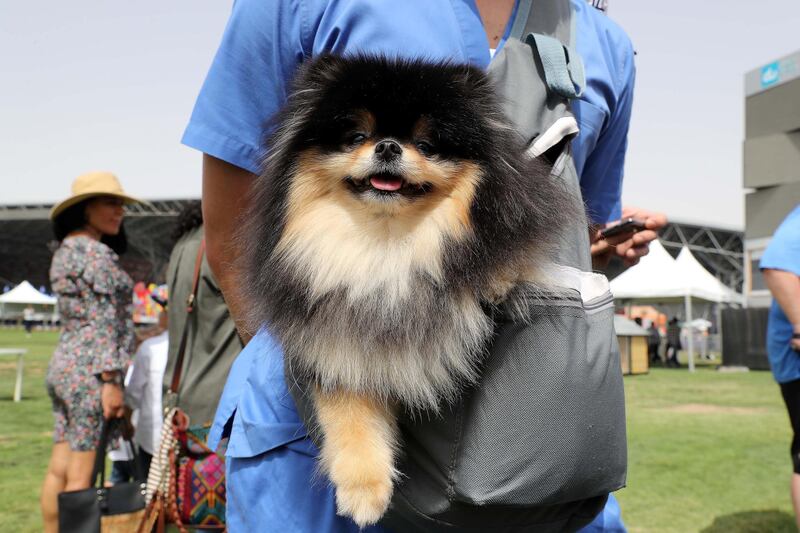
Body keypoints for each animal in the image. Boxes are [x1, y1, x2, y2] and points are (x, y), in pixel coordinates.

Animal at [239, 54, 576, 524]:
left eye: (427, 144)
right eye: (356, 137)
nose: (387, 147)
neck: (388, 247)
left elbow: (511, 249)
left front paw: (498, 275)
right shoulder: (339, 340)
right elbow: (351, 416)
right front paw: (364, 493)